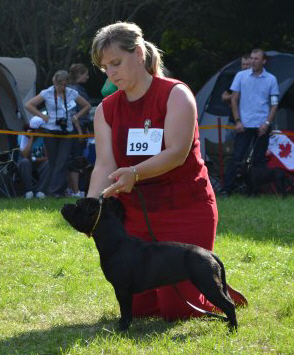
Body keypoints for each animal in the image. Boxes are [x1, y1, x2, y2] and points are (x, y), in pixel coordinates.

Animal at [60, 197, 238, 330]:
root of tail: (210, 254)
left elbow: (124, 310)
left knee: (229, 305)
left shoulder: (122, 289)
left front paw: (122, 328)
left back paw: (233, 328)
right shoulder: (125, 291)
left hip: (208, 285)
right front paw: (123, 325)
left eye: (78, 205)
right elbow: (126, 311)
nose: (64, 205)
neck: (115, 241)